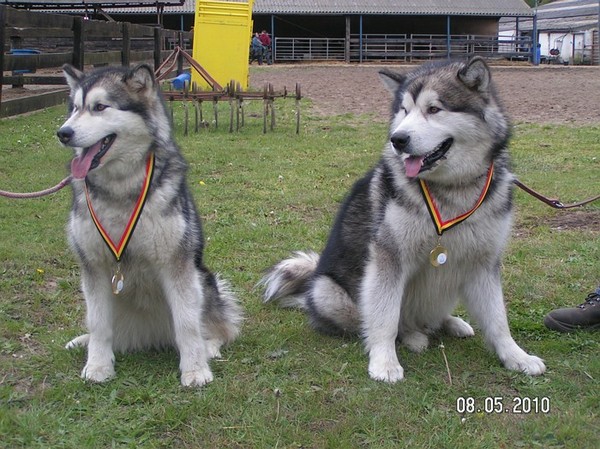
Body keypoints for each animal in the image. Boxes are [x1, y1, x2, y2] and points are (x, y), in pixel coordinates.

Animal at [56, 63, 241, 384]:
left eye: (100, 107)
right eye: (75, 108)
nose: (63, 133)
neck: (121, 190)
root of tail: (151, 336)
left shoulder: (177, 263)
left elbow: (187, 323)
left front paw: (195, 369)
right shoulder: (93, 266)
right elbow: (98, 322)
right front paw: (98, 365)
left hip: (203, 279)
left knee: (218, 326)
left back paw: (209, 346)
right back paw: (84, 341)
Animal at [260, 57, 548, 382]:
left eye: (434, 109)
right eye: (404, 111)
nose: (397, 139)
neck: (451, 189)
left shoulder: (484, 262)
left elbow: (498, 320)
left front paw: (516, 356)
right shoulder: (389, 257)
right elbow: (385, 317)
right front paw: (384, 362)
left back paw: (451, 323)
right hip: (329, 292)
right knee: (387, 321)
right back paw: (412, 336)